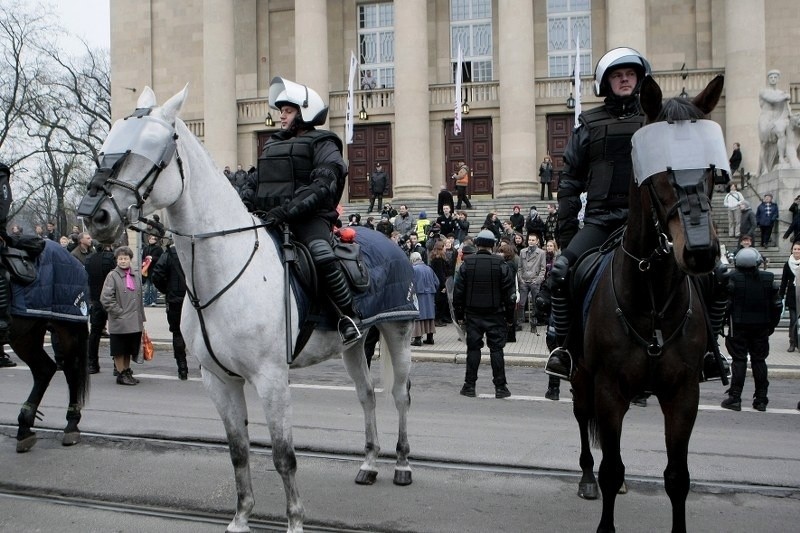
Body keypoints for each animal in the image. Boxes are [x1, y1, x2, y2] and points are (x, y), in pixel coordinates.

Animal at [79, 87, 416, 532]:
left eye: (150, 148)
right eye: (108, 145)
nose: (93, 216)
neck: (223, 267)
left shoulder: (271, 379)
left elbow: (283, 457)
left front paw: (294, 522)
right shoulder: (219, 381)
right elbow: (238, 451)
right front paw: (240, 518)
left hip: (398, 331)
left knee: (399, 395)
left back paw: (402, 465)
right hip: (353, 345)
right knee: (366, 397)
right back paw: (370, 463)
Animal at [568, 75, 724, 532]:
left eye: (712, 170)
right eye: (659, 175)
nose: (701, 252)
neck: (651, 297)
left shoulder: (683, 394)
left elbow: (677, 477)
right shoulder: (609, 389)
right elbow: (611, 467)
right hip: (581, 376)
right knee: (583, 421)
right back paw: (586, 477)